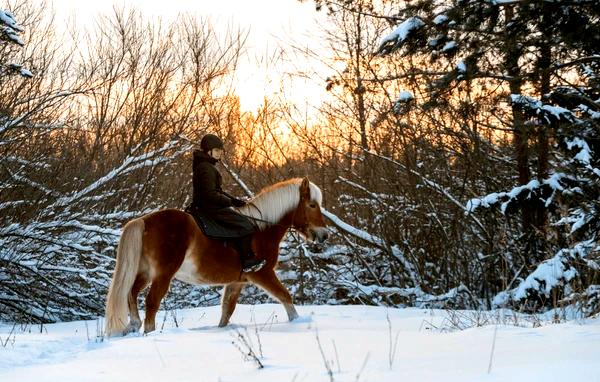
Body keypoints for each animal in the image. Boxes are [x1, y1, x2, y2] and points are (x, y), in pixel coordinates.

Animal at [104, 177, 328, 338]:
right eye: (312, 205)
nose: (323, 235)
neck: (260, 229)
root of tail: (144, 221)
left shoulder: (237, 281)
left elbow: (227, 310)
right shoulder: (263, 274)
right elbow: (285, 297)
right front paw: (297, 322)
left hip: (145, 272)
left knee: (131, 293)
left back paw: (134, 325)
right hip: (162, 274)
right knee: (151, 302)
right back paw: (149, 332)